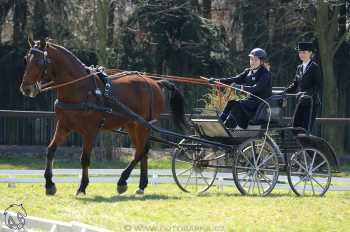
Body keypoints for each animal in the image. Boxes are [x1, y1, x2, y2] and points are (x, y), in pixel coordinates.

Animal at [19, 38, 186, 196]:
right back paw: (141, 186)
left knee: (142, 150)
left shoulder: (90, 131)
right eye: (26, 59)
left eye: (40, 62)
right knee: (141, 151)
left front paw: (82, 187)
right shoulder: (64, 126)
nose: (26, 88)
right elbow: (51, 150)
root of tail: (155, 82)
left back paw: (122, 181)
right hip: (133, 125)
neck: (80, 88)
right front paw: (49, 185)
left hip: (143, 125)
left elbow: (85, 158)